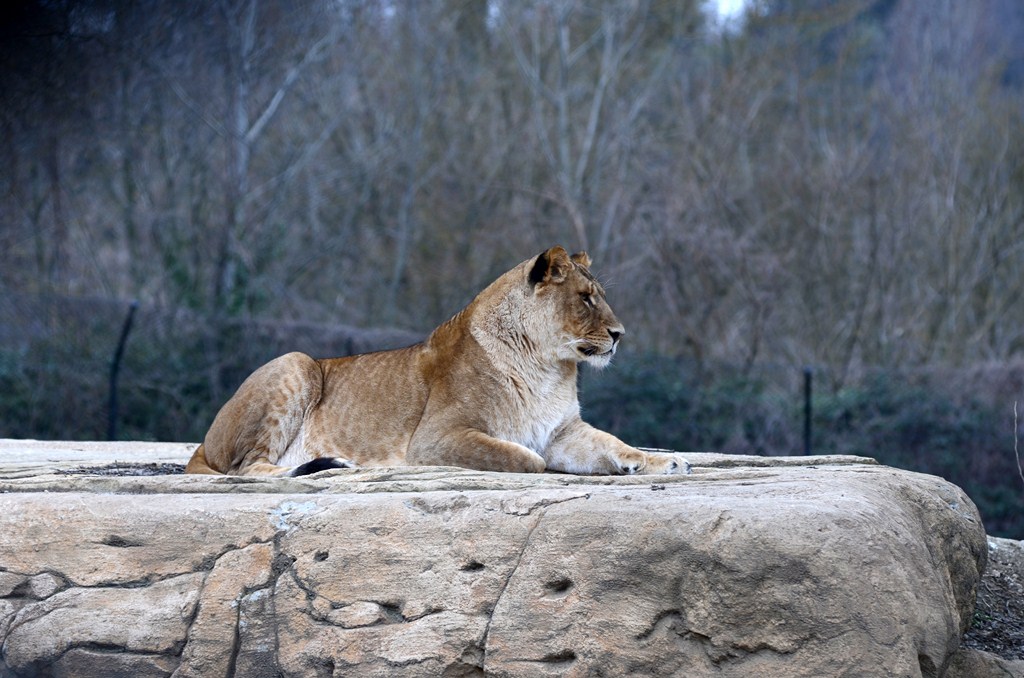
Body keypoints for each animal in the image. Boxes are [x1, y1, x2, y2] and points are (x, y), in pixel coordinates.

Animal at [185, 246, 690, 477]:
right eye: (585, 298)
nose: (619, 335)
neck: (548, 367)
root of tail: (202, 445)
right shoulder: (437, 439)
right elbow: (524, 457)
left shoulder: (564, 431)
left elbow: (613, 442)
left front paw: (659, 462)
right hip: (296, 362)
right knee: (247, 468)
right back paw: (333, 463)